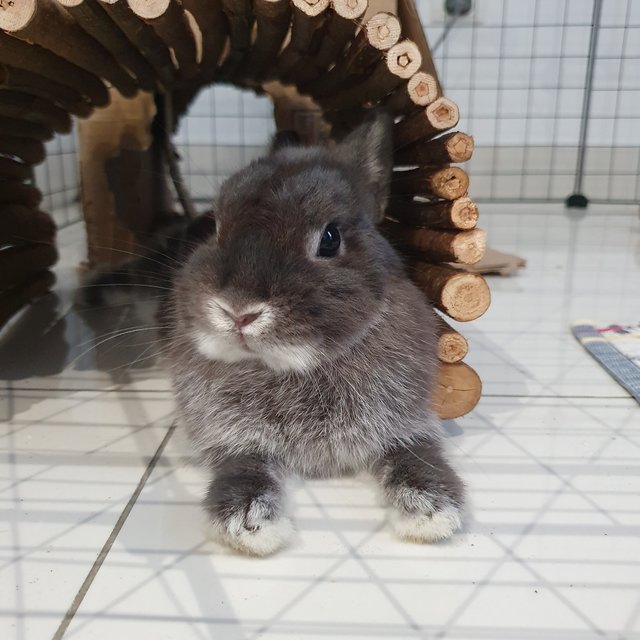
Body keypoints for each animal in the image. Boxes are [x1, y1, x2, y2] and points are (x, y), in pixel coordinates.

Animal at [86, 115, 464, 556]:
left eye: (330, 238)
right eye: (216, 227)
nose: (238, 311)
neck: (290, 368)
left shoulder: (406, 424)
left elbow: (418, 458)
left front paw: (432, 514)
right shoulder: (234, 439)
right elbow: (243, 469)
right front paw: (249, 525)